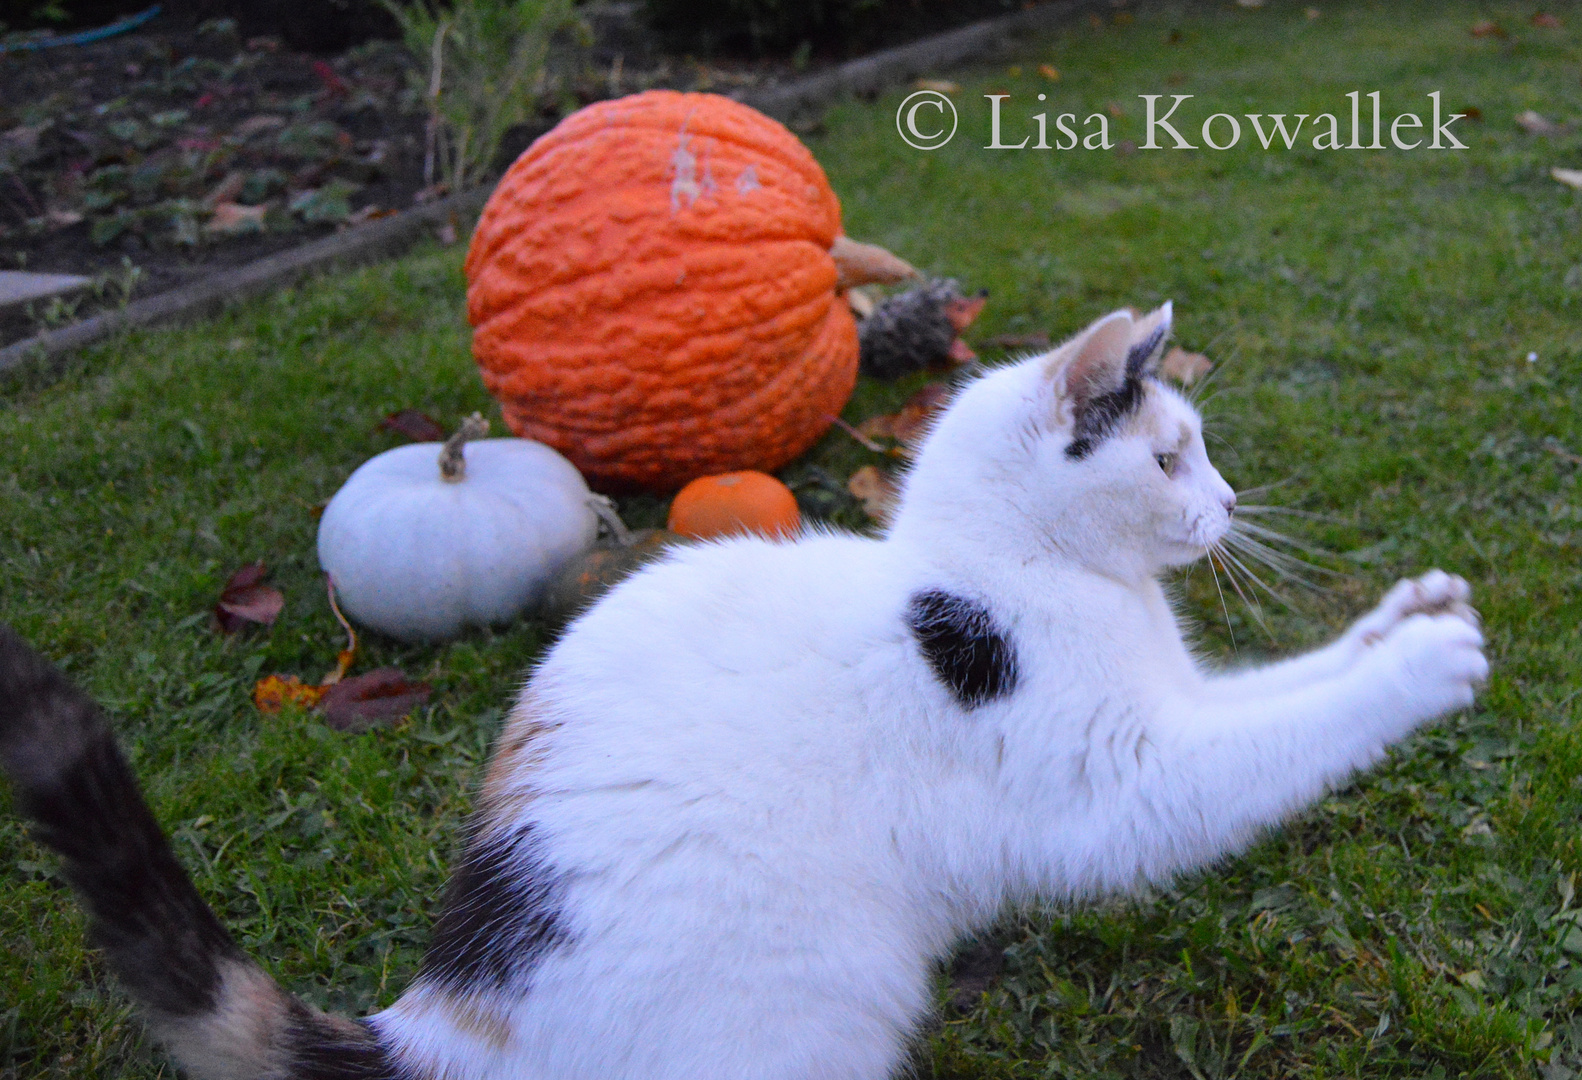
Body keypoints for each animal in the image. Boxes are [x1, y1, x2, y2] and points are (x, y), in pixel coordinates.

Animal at [0, 302, 1480, 1080]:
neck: (1002, 573)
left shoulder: (1172, 703)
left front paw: (1405, 616)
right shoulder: (1117, 782)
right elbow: (1278, 742)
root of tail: (452, 1016)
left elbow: (1285, 690)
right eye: (1171, 458)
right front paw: (1425, 664)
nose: (1225, 504)